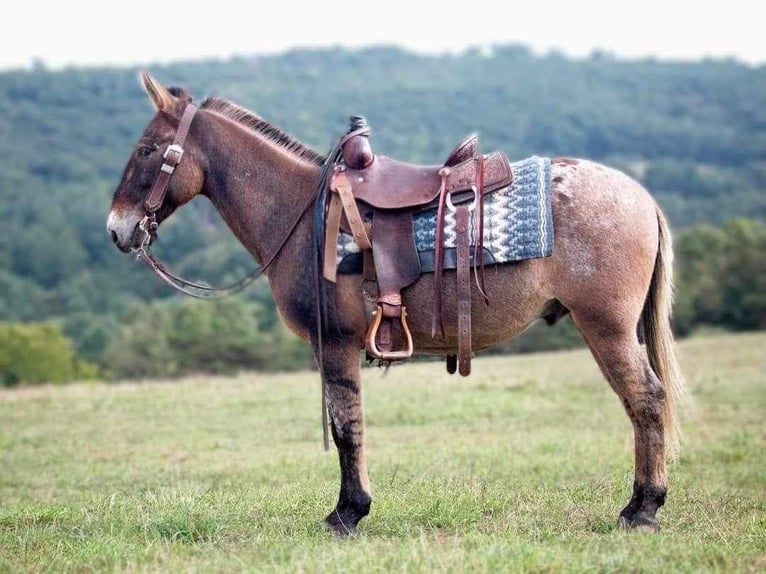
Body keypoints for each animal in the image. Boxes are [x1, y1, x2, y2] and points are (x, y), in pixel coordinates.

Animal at [105, 74, 688, 536]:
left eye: (146, 150)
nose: (116, 229)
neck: (301, 213)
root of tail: (641, 196)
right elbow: (347, 424)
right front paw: (351, 508)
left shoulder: (335, 345)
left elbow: (346, 427)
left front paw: (348, 513)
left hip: (607, 328)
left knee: (647, 400)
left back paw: (642, 509)